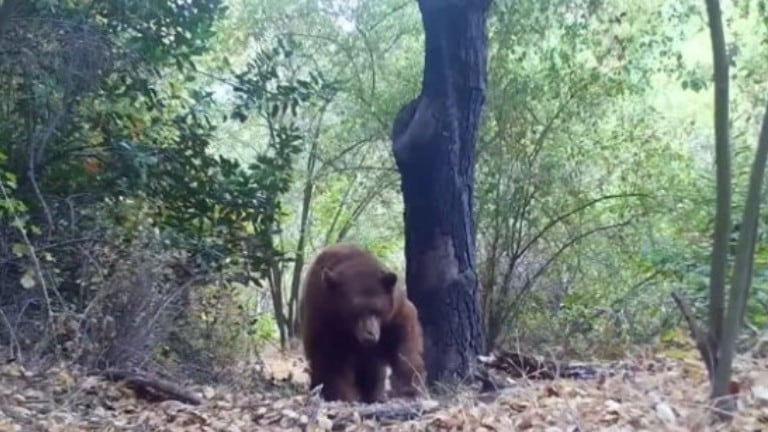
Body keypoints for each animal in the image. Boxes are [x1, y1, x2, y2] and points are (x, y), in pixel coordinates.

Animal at [298, 241, 426, 404]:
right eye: (355, 311)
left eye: (377, 310)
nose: (370, 334)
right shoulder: (324, 319)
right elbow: (332, 359)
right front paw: (341, 395)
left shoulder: (394, 312)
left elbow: (404, 342)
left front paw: (410, 389)